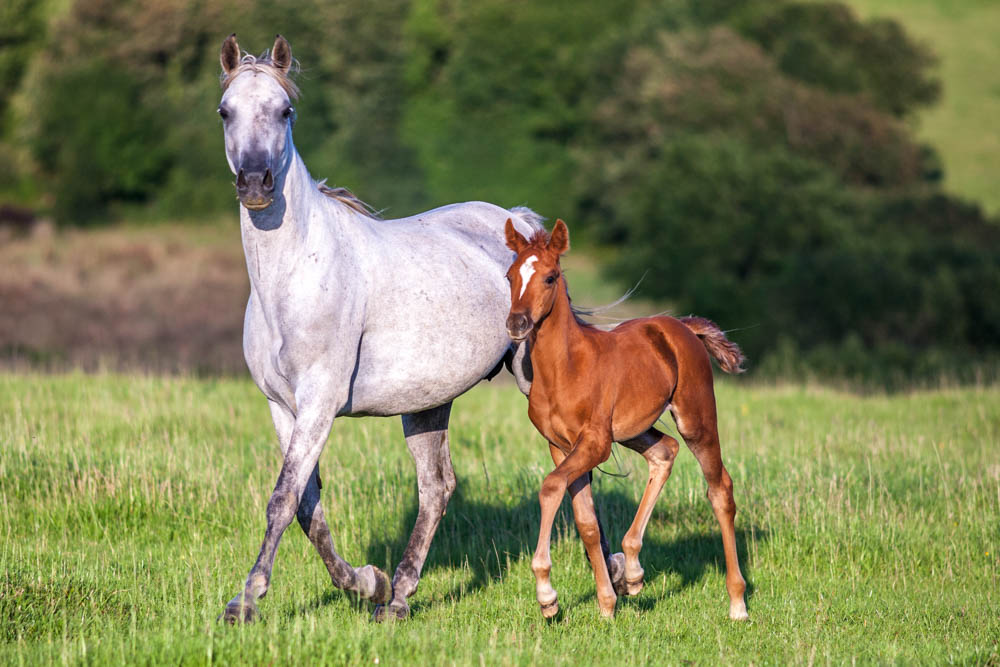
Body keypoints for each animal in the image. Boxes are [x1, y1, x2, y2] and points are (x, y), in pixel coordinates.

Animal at [215, 35, 536, 620]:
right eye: (226, 111)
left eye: (285, 110)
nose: (254, 183)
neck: (294, 277)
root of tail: (520, 221)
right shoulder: (282, 407)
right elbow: (307, 507)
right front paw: (368, 583)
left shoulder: (319, 401)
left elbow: (282, 499)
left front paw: (246, 600)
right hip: (428, 403)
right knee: (436, 488)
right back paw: (399, 598)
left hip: (533, 377)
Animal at [508, 219, 752, 620]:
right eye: (510, 275)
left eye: (550, 277)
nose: (517, 322)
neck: (565, 369)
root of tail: (681, 327)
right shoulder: (561, 446)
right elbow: (586, 522)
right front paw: (607, 605)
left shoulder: (595, 444)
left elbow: (550, 487)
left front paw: (547, 595)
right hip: (632, 429)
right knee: (665, 452)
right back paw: (635, 569)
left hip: (695, 418)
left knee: (720, 490)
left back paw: (737, 603)